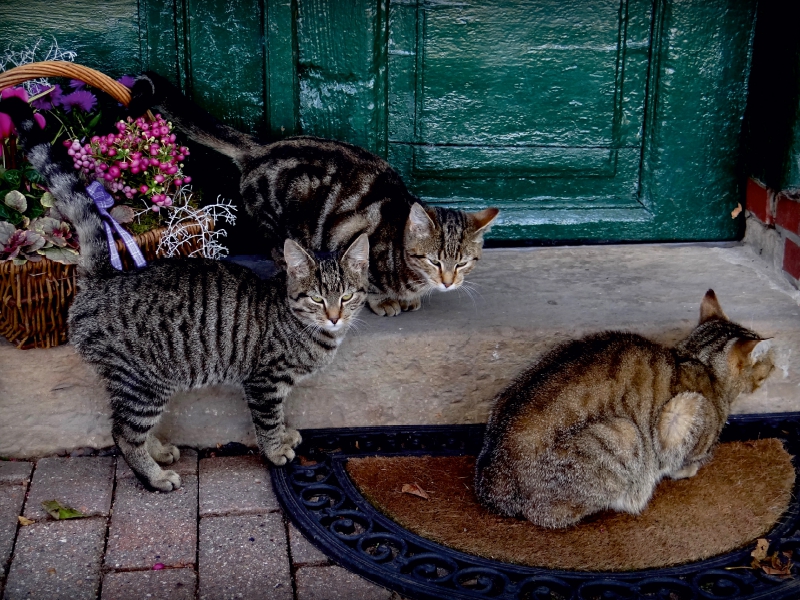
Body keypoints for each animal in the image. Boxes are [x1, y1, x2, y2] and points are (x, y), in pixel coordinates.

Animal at [1, 97, 370, 492]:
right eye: (317, 298)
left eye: (347, 296)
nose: (335, 316)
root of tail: (102, 278)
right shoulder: (264, 382)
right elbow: (268, 421)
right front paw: (276, 449)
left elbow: (281, 415)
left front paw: (286, 435)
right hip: (144, 383)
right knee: (122, 433)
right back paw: (155, 475)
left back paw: (159, 452)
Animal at [127, 71, 496, 316]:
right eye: (434, 260)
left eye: (463, 263)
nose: (448, 282)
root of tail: (261, 148)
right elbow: (370, 285)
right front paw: (386, 301)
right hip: (279, 226)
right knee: (279, 252)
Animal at [476, 290, 776, 528]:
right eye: (769, 362)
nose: (775, 366)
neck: (698, 360)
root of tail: (493, 479)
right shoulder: (681, 411)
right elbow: (680, 458)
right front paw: (688, 469)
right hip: (624, 433)